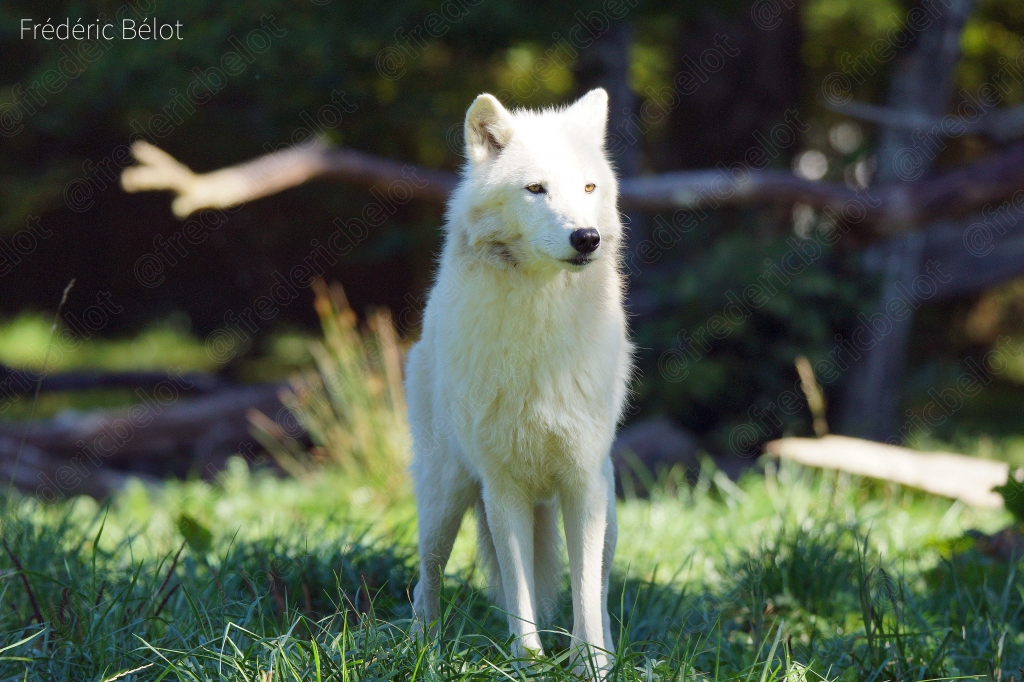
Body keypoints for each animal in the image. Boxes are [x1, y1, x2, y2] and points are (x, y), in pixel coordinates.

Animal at [406, 88, 632, 672]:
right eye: (536, 189)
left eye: (588, 188)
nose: (587, 238)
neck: (539, 334)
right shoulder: (501, 487)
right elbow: (518, 590)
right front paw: (527, 664)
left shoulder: (582, 482)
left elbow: (584, 593)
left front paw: (591, 665)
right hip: (446, 500)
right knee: (427, 580)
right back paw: (423, 653)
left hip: (609, 510)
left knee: (600, 585)